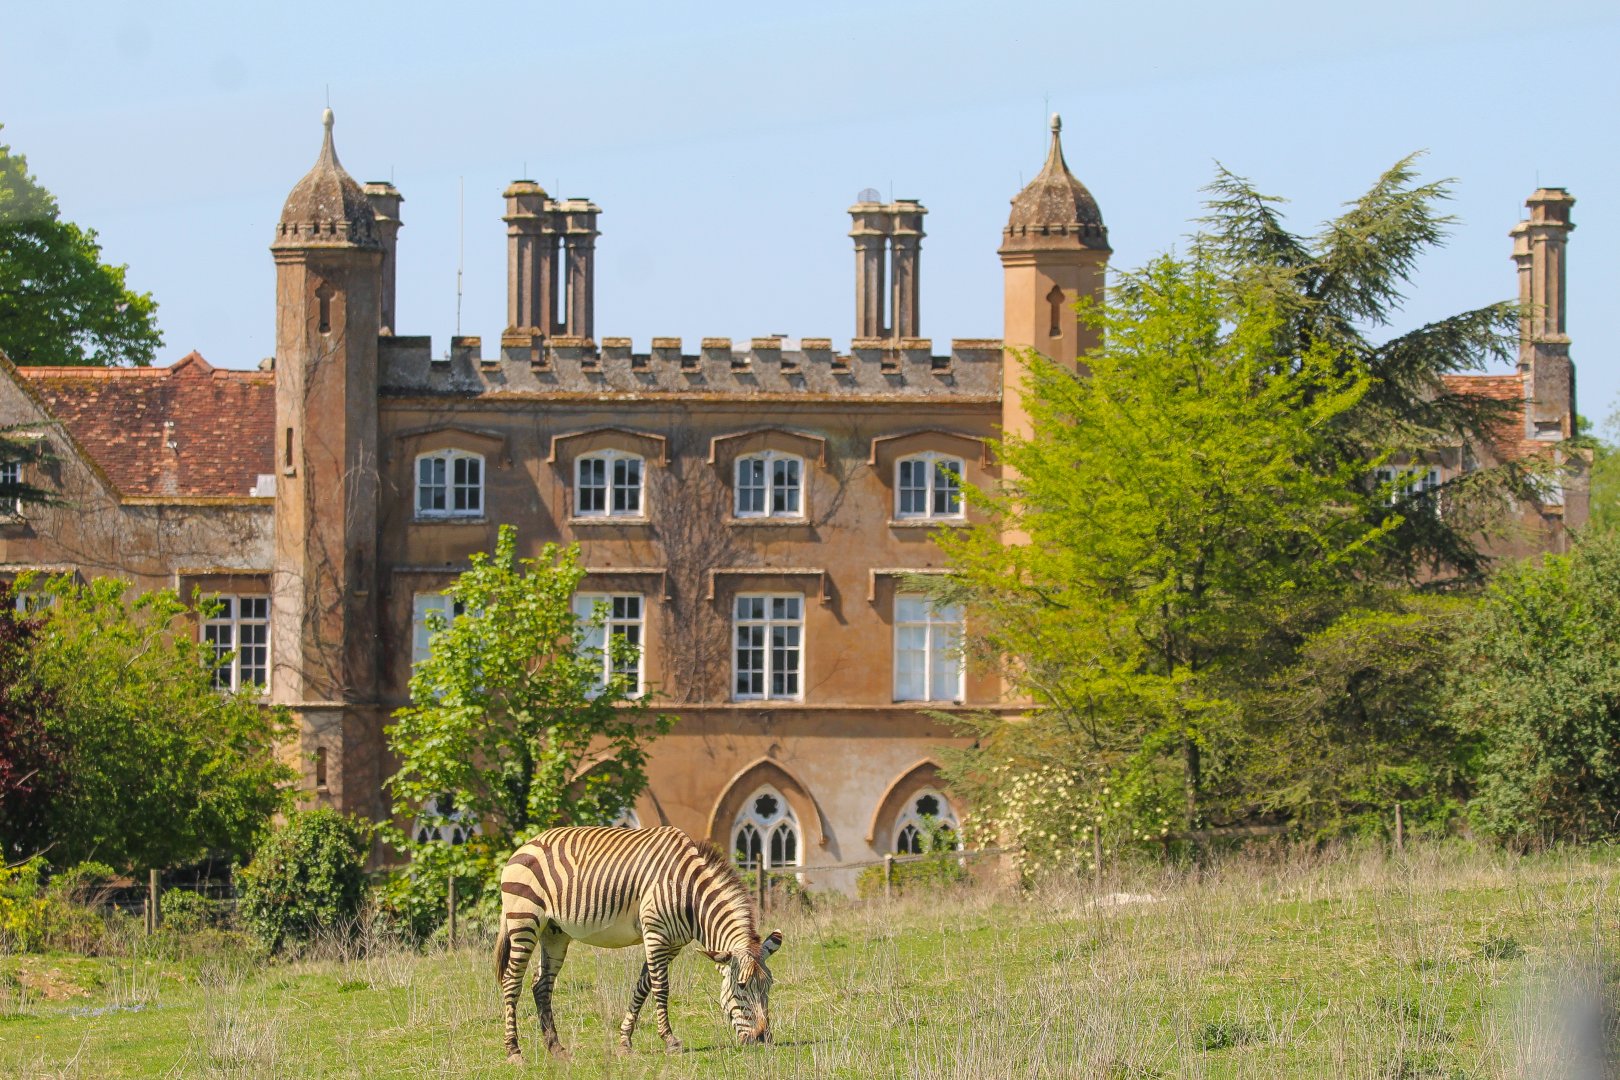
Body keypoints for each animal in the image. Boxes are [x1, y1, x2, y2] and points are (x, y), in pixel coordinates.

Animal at [495, 824, 785, 1062]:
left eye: (769, 986)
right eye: (742, 986)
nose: (763, 1039)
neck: (690, 895)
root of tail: (525, 845)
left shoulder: (672, 943)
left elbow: (643, 986)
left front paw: (625, 1042)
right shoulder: (655, 933)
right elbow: (661, 987)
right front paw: (670, 1040)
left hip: (554, 931)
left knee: (541, 985)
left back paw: (556, 1048)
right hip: (524, 920)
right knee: (512, 981)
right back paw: (513, 1051)